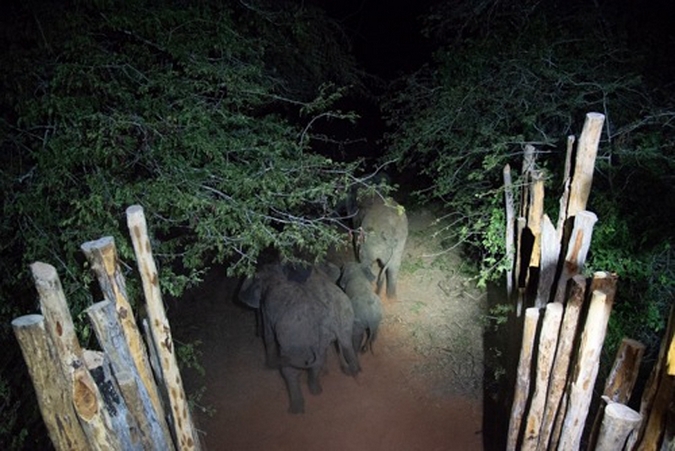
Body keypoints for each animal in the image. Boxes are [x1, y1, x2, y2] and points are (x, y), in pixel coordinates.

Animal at [239, 264, 362, 414]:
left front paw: (269, 365)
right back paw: (318, 388)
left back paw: (296, 408)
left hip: (293, 338)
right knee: (330, 352)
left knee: (290, 369)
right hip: (339, 322)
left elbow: (268, 336)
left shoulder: (266, 310)